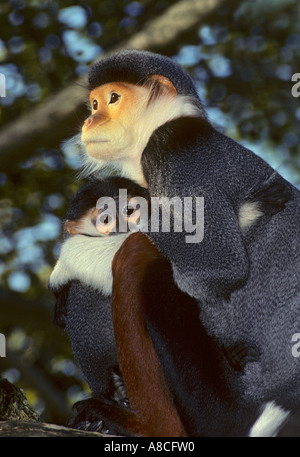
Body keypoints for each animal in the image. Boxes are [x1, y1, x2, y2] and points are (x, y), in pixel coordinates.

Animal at [65, 50, 298, 434]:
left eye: (112, 99)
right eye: (94, 103)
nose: (90, 119)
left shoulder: (170, 149)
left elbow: (218, 268)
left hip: (221, 408)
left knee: (137, 259)